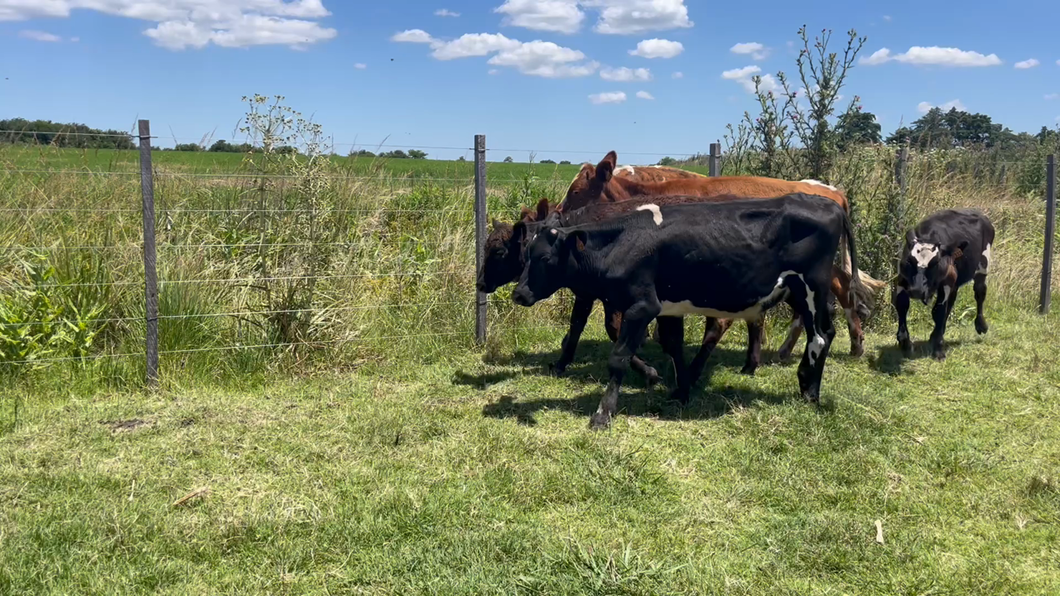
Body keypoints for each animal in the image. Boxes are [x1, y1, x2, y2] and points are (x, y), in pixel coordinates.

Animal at [508, 190, 864, 426]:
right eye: (525, 253)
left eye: (544, 257)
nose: (519, 294)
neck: (625, 241)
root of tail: (829, 202)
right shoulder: (668, 308)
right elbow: (674, 348)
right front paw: (681, 391)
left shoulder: (642, 306)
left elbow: (618, 358)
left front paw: (602, 414)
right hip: (797, 290)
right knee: (823, 330)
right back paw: (805, 382)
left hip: (812, 285)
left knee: (821, 335)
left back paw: (810, 392)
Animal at [894, 206, 992, 360]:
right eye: (910, 261)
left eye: (935, 263)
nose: (916, 290)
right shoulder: (902, 278)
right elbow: (902, 304)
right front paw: (904, 341)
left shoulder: (946, 282)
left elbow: (938, 311)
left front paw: (938, 349)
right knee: (952, 301)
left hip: (983, 263)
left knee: (980, 292)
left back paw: (981, 325)